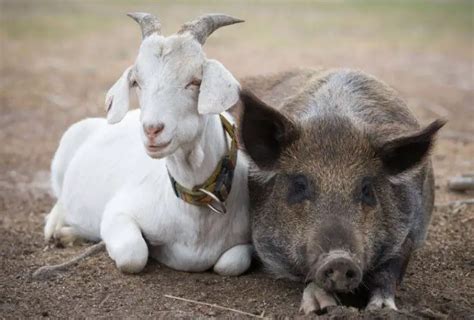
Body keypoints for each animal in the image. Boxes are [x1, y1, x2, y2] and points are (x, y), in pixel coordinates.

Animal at [44, 13, 252, 276]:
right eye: (136, 82)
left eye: (195, 81)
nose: (152, 129)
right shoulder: (118, 212)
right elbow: (133, 255)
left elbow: (230, 264)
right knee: (60, 200)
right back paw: (56, 231)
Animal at [239, 69, 446, 312]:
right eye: (300, 185)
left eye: (366, 189)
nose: (340, 259)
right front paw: (320, 307)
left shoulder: (409, 229)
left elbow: (389, 271)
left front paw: (381, 309)